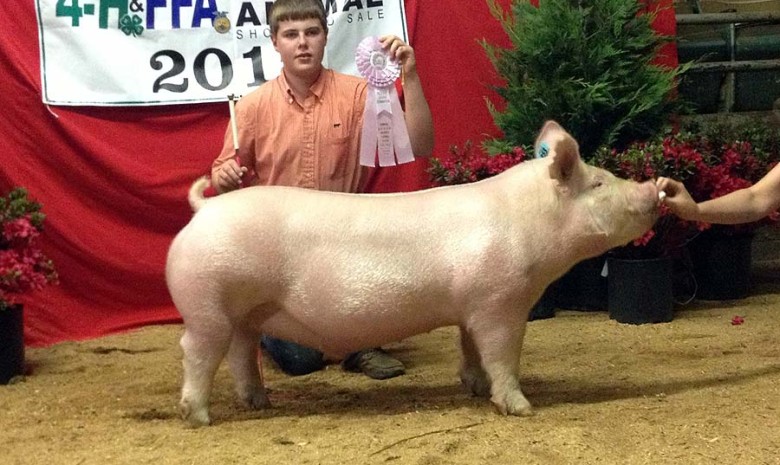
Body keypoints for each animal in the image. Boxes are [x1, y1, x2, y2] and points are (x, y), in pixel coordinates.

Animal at [168, 121, 660, 426]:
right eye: (598, 183)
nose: (654, 189)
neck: (528, 223)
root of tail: (203, 210)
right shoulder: (500, 301)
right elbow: (503, 354)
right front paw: (522, 408)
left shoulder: (470, 308)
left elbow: (471, 350)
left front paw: (474, 389)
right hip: (208, 302)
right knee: (197, 351)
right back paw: (199, 417)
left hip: (246, 312)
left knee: (240, 352)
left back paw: (259, 402)